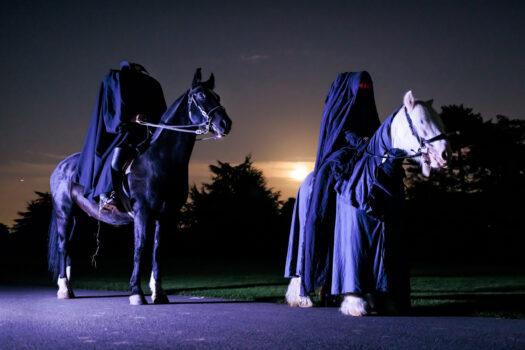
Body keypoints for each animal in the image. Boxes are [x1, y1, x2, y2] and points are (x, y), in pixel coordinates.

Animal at [47, 68, 231, 304]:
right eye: (199, 96)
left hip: (79, 216)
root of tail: (61, 166)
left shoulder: (166, 215)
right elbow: (140, 248)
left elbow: (158, 250)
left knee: (69, 247)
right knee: (63, 246)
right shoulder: (143, 212)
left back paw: (68, 287)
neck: (160, 160)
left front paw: (158, 292)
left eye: (217, 97)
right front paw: (136, 291)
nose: (225, 124)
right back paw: (64, 289)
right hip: (65, 211)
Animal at [284, 91, 448, 316]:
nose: (445, 154)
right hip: (301, 236)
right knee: (300, 265)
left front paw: (386, 303)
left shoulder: (392, 236)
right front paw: (355, 304)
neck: (375, 178)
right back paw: (301, 298)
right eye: (422, 121)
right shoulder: (355, 239)